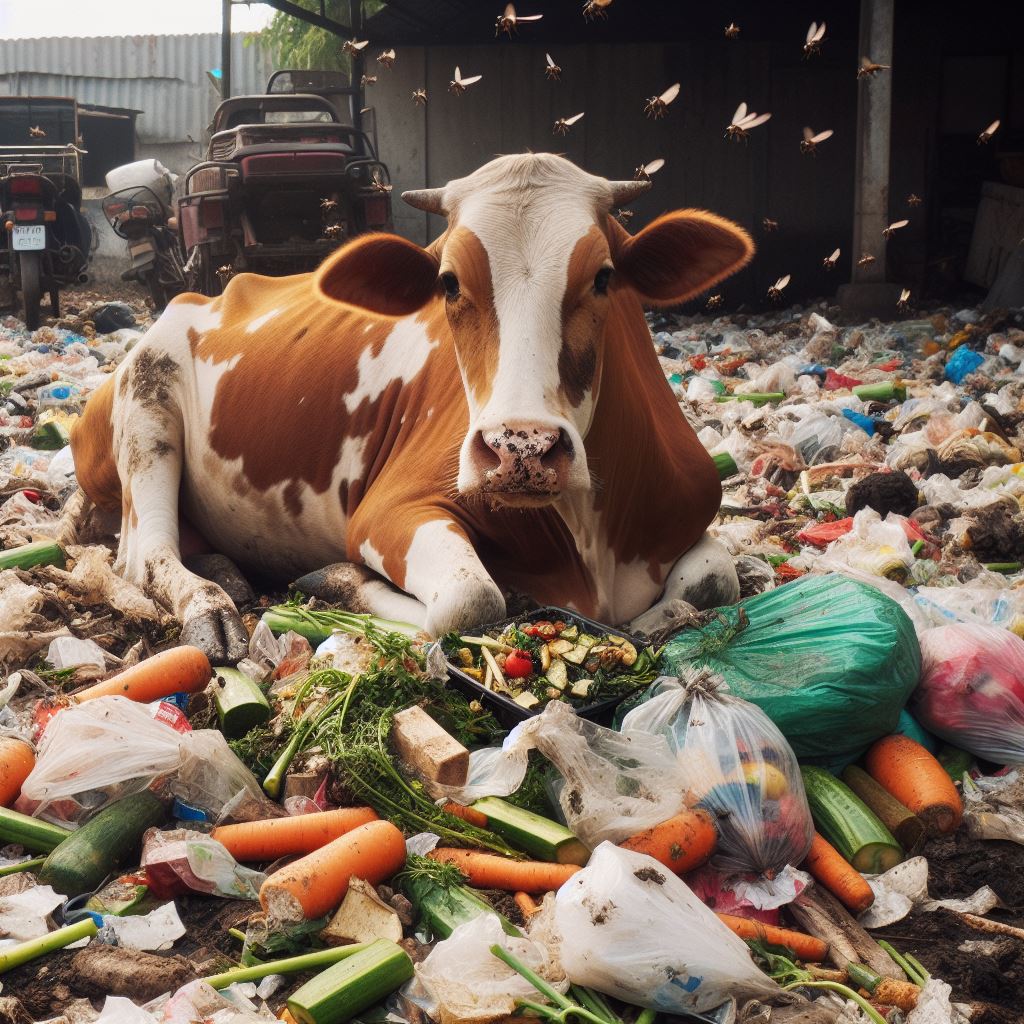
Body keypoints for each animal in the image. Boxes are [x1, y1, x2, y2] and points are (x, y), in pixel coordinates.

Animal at [70, 151, 753, 663]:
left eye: (605, 277)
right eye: (448, 282)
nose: (522, 449)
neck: (592, 542)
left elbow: (714, 581)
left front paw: (663, 619)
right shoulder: (389, 511)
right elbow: (471, 601)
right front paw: (344, 582)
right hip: (146, 405)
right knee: (146, 556)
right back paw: (211, 605)